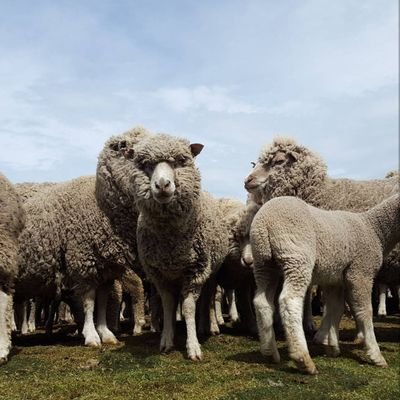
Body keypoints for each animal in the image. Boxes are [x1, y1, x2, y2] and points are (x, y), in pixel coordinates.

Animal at [133, 134, 230, 360]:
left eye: (179, 161)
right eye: (146, 164)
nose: (162, 185)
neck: (171, 242)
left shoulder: (195, 272)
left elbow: (188, 308)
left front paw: (193, 346)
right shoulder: (159, 274)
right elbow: (169, 305)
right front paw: (166, 340)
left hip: (212, 271)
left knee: (209, 298)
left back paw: (210, 326)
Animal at [252, 194, 398, 376]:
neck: (375, 230)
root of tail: (264, 220)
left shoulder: (335, 279)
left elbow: (335, 309)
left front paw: (331, 346)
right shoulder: (360, 272)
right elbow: (365, 312)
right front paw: (375, 354)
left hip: (264, 264)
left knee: (262, 302)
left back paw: (270, 352)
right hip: (296, 255)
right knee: (289, 301)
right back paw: (303, 359)